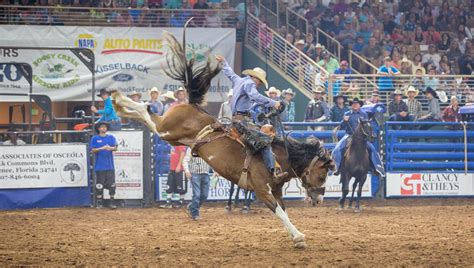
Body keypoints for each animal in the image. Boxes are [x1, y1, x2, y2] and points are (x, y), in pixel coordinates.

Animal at [110, 29, 334, 249]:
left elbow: (284, 211)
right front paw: (298, 236)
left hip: (172, 138)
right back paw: (119, 99)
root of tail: (190, 104)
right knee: (147, 111)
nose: (320, 200)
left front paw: (295, 236)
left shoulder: (277, 191)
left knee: (146, 115)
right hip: (167, 130)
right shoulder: (262, 190)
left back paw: (120, 106)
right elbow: (279, 212)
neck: (279, 156)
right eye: (322, 175)